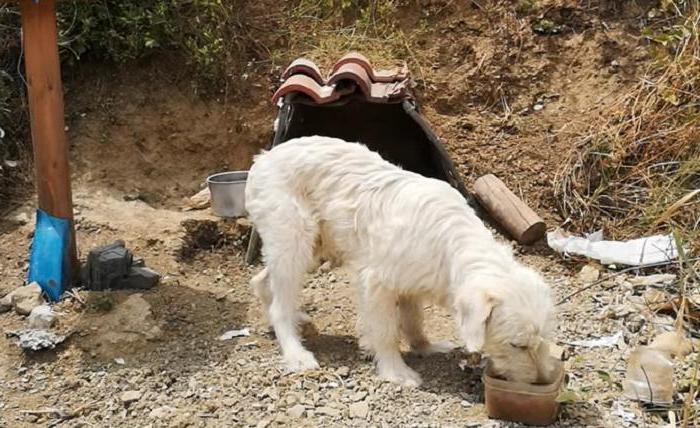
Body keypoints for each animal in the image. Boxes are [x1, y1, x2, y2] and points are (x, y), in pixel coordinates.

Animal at [246, 136, 556, 388]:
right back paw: (296, 352)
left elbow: (413, 320)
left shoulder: (412, 283)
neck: (452, 245)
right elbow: (385, 332)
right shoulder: (377, 284)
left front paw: (425, 347)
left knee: (263, 282)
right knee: (279, 304)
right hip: (294, 240)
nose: (542, 381)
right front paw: (396, 372)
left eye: (542, 340)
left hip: (313, 246)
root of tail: (264, 157)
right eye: (517, 345)